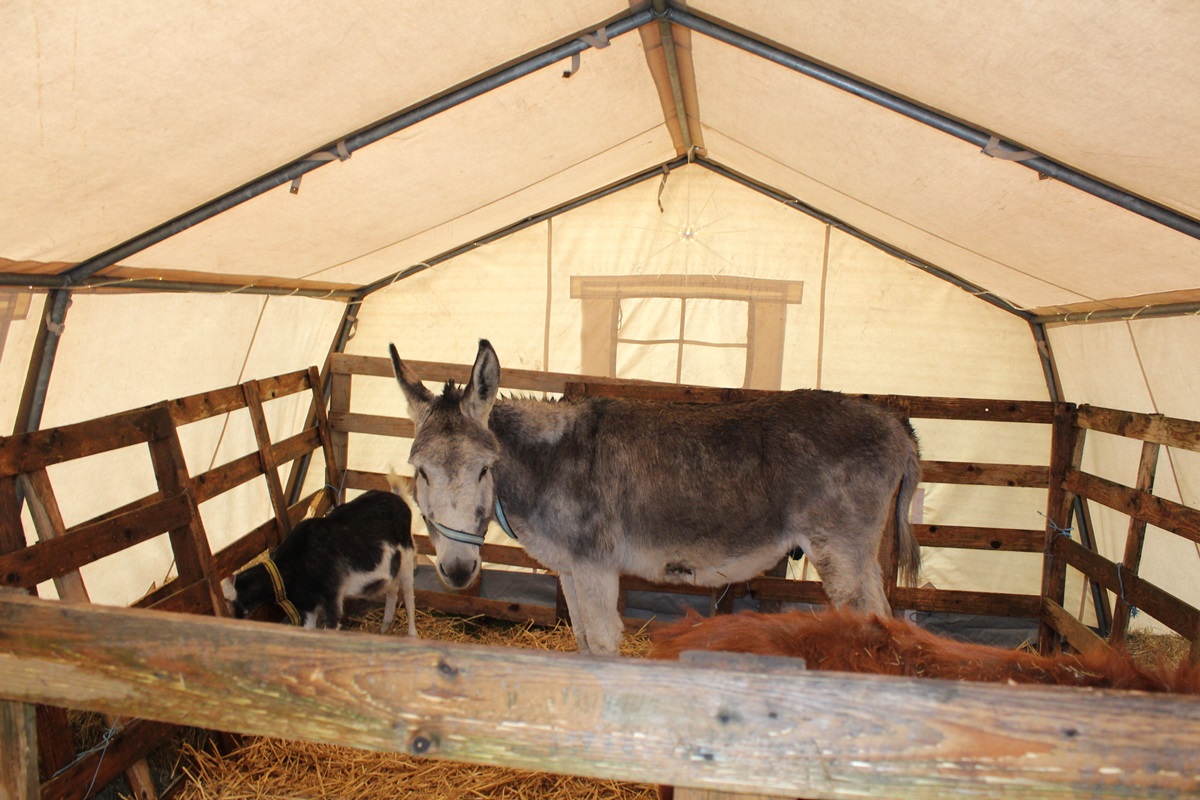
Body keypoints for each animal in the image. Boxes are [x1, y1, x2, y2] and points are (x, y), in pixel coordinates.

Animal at [223, 491, 420, 633]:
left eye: (231, 603)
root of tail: (401, 501)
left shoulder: (332, 597)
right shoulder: (308, 606)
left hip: (408, 557)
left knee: (409, 596)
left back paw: (412, 634)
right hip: (392, 566)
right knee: (392, 589)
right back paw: (385, 627)